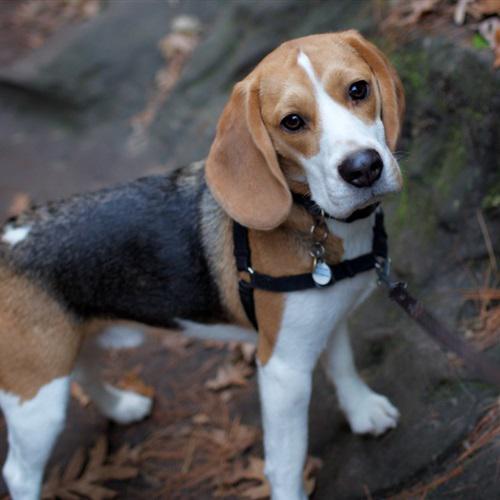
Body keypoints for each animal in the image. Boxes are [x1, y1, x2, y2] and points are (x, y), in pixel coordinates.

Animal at [0, 30, 404, 500]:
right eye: (292, 122)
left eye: (358, 89)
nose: (363, 168)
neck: (313, 217)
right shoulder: (283, 368)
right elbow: (286, 460)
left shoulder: (327, 319)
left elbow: (342, 366)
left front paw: (362, 410)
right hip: (35, 396)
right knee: (19, 472)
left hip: (69, 344)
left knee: (84, 368)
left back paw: (121, 406)